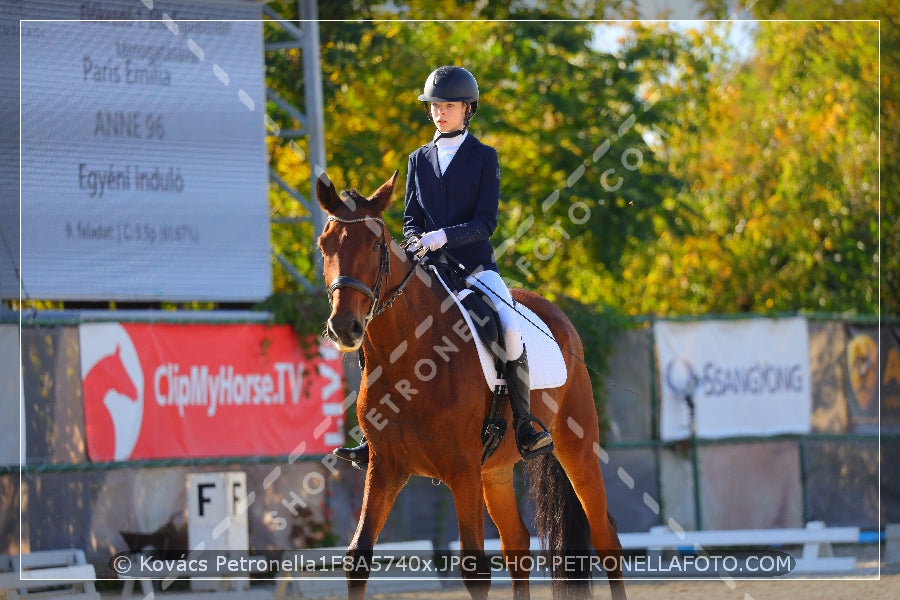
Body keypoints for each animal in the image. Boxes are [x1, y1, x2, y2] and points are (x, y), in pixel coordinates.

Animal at [316, 170, 624, 600]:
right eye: (324, 244)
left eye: (375, 244)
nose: (345, 327)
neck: (409, 358)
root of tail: (557, 313)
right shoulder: (385, 465)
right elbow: (358, 556)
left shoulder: (461, 470)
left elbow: (475, 569)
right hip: (494, 470)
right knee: (516, 544)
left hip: (576, 445)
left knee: (605, 537)